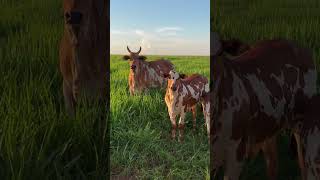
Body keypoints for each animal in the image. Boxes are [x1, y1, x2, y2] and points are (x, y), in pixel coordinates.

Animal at [210, 32, 318, 180]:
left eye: (220, 53)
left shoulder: (236, 154)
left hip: (301, 124)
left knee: (302, 164)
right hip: (269, 125)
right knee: (272, 162)